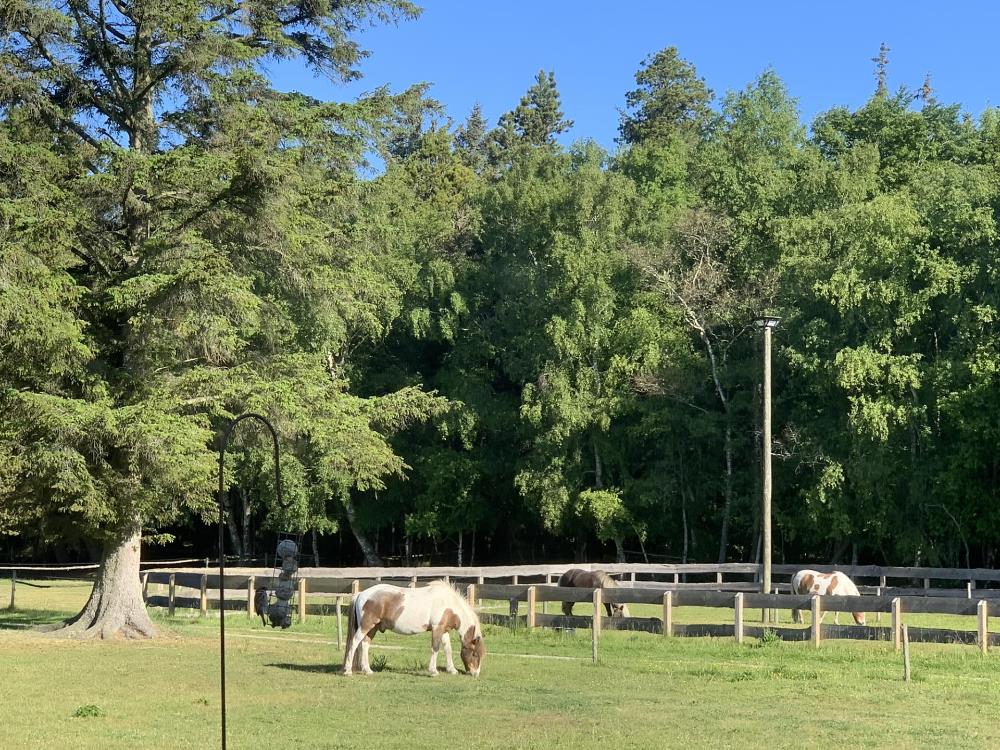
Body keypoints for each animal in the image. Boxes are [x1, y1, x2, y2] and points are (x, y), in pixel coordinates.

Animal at [344, 580, 484, 680]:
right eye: (475, 654)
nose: (476, 673)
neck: (448, 604)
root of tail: (361, 594)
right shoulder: (437, 629)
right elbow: (435, 648)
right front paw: (433, 671)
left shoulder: (444, 630)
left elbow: (447, 649)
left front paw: (452, 670)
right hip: (366, 626)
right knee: (355, 642)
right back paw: (348, 671)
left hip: (373, 628)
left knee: (365, 644)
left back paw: (367, 670)